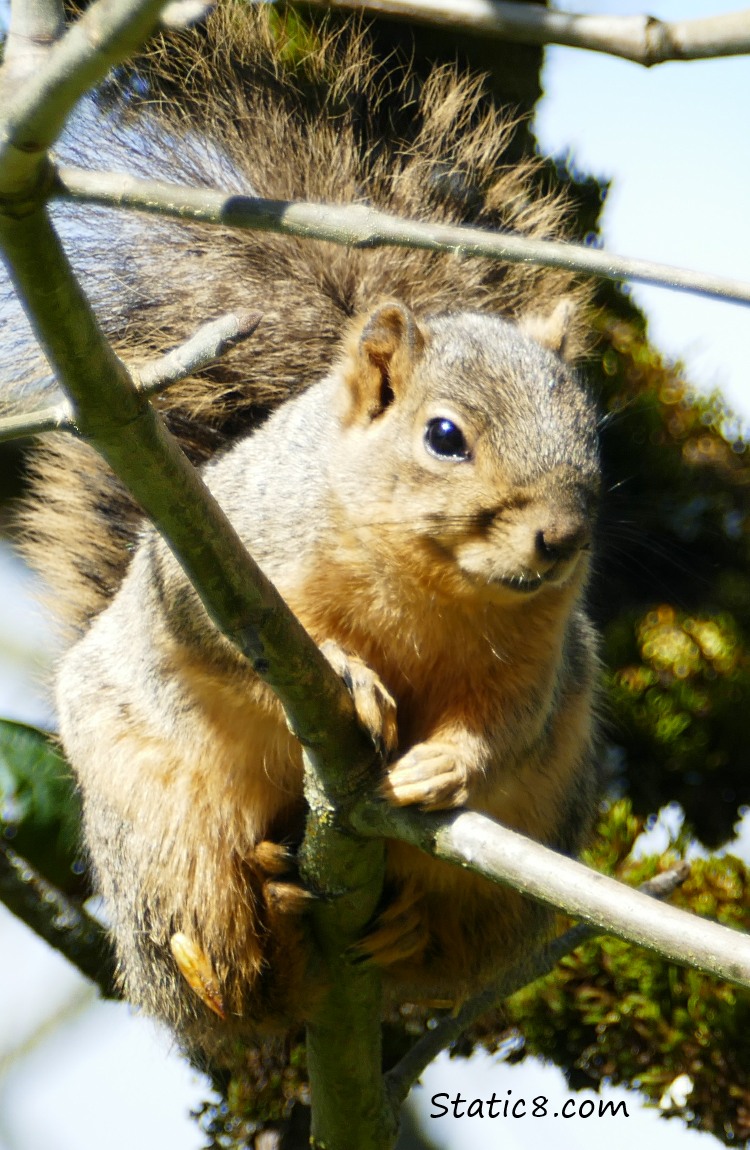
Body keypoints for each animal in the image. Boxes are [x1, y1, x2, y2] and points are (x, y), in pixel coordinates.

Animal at [8, 2, 602, 1067]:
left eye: (589, 423)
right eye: (444, 436)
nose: (562, 538)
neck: (427, 580)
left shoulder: (542, 660)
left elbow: (509, 723)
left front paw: (449, 761)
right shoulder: (213, 560)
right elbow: (218, 636)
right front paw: (352, 676)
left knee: (450, 946)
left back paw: (407, 930)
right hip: (156, 817)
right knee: (211, 952)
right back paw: (249, 938)